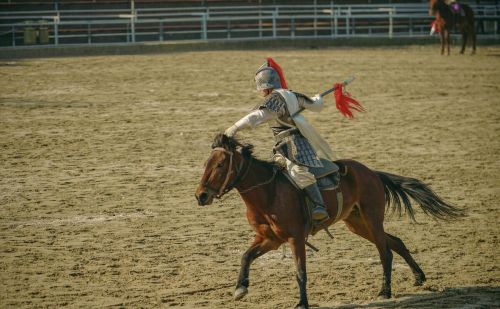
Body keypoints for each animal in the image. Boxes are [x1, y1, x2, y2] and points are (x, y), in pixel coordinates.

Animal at [194, 133, 464, 308]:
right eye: (206, 163)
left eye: (220, 164)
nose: (201, 195)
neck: (269, 192)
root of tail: (372, 173)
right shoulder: (269, 239)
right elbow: (246, 256)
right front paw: (241, 288)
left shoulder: (295, 238)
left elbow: (300, 271)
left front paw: (302, 303)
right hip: (357, 223)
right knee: (395, 242)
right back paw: (418, 277)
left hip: (372, 218)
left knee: (385, 252)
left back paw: (385, 291)